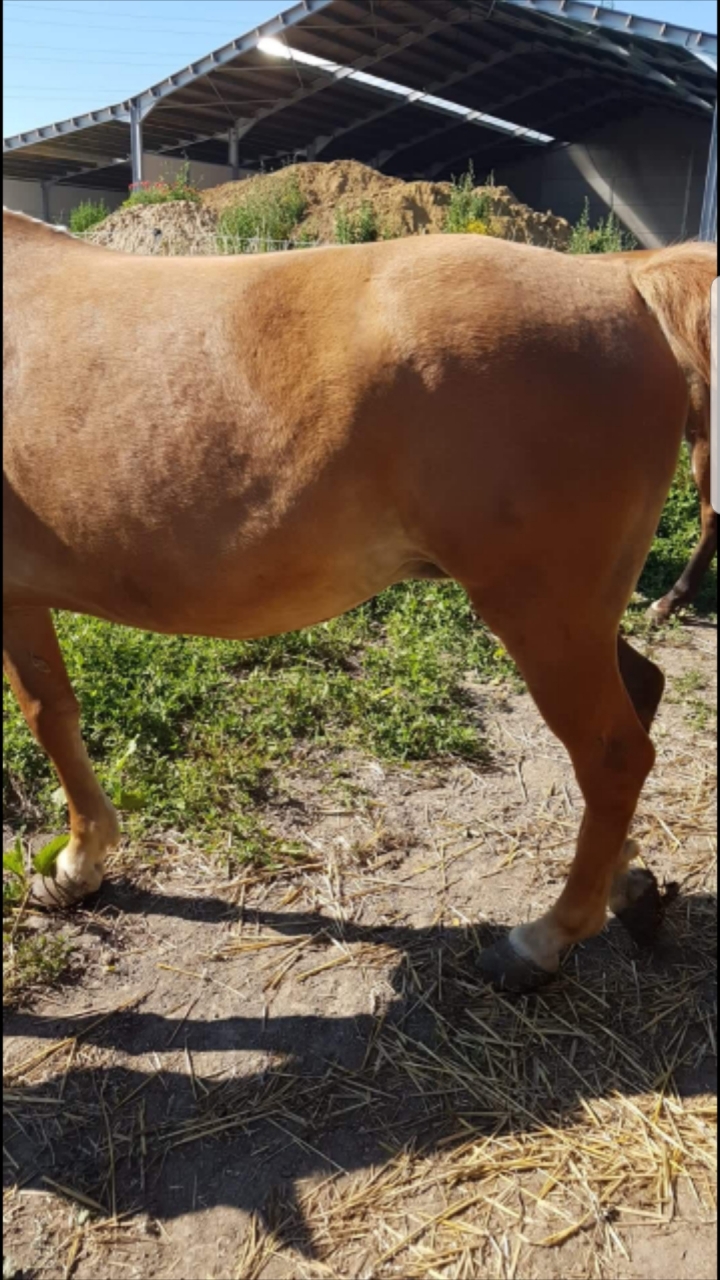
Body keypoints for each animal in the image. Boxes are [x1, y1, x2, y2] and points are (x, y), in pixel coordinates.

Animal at [3, 209, 715, 992]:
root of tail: (624, 281)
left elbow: (47, 718)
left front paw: (78, 862)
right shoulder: (20, 597)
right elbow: (52, 711)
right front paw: (78, 865)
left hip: (542, 615)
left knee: (613, 755)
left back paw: (545, 938)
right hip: (571, 614)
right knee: (641, 694)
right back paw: (629, 884)